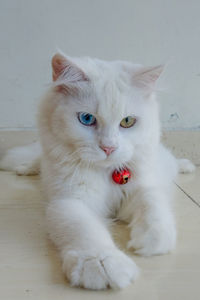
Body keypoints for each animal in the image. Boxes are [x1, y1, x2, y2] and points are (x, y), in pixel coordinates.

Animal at [0, 52, 195, 290]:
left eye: (127, 121)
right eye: (86, 119)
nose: (108, 148)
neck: (107, 172)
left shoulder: (141, 188)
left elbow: (153, 206)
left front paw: (153, 240)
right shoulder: (70, 201)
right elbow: (86, 230)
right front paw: (101, 264)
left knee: (174, 164)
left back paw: (187, 166)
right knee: (38, 160)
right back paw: (25, 168)